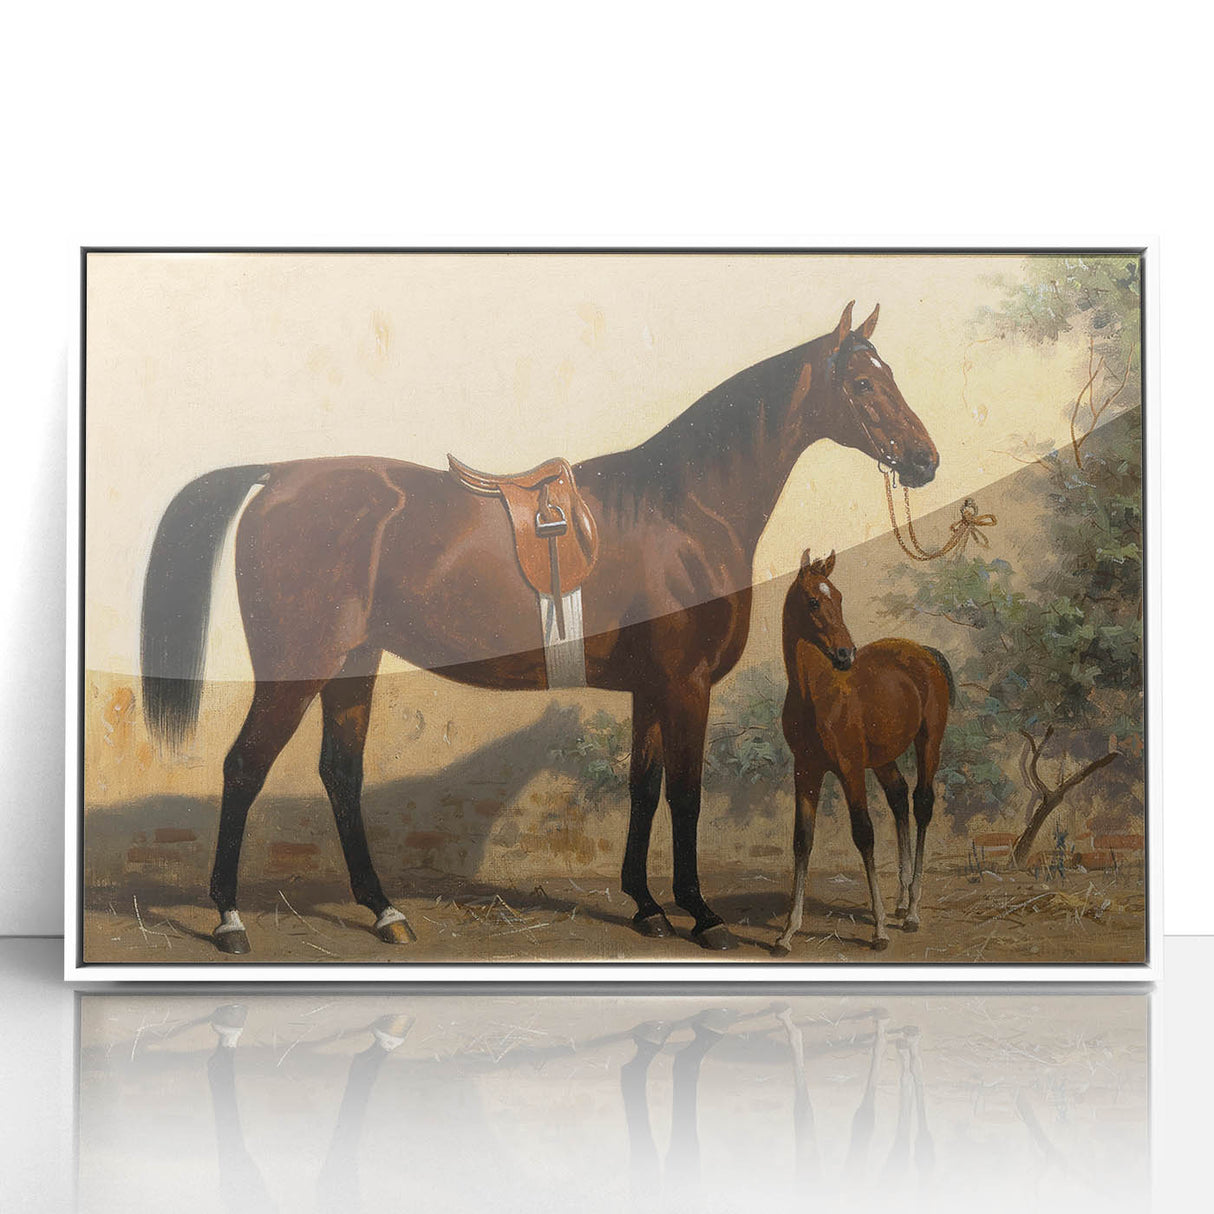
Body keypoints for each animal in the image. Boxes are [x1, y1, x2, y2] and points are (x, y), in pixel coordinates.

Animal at [773, 552, 954, 954]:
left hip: (928, 743)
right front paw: (788, 931)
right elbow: (801, 840)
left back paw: (912, 910)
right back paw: (901, 900)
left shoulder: (849, 769)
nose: (845, 654)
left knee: (922, 803)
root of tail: (925, 653)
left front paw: (880, 930)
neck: (816, 694)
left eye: (839, 598)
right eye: (813, 601)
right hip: (883, 759)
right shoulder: (805, 771)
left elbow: (864, 834)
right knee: (899, 796)